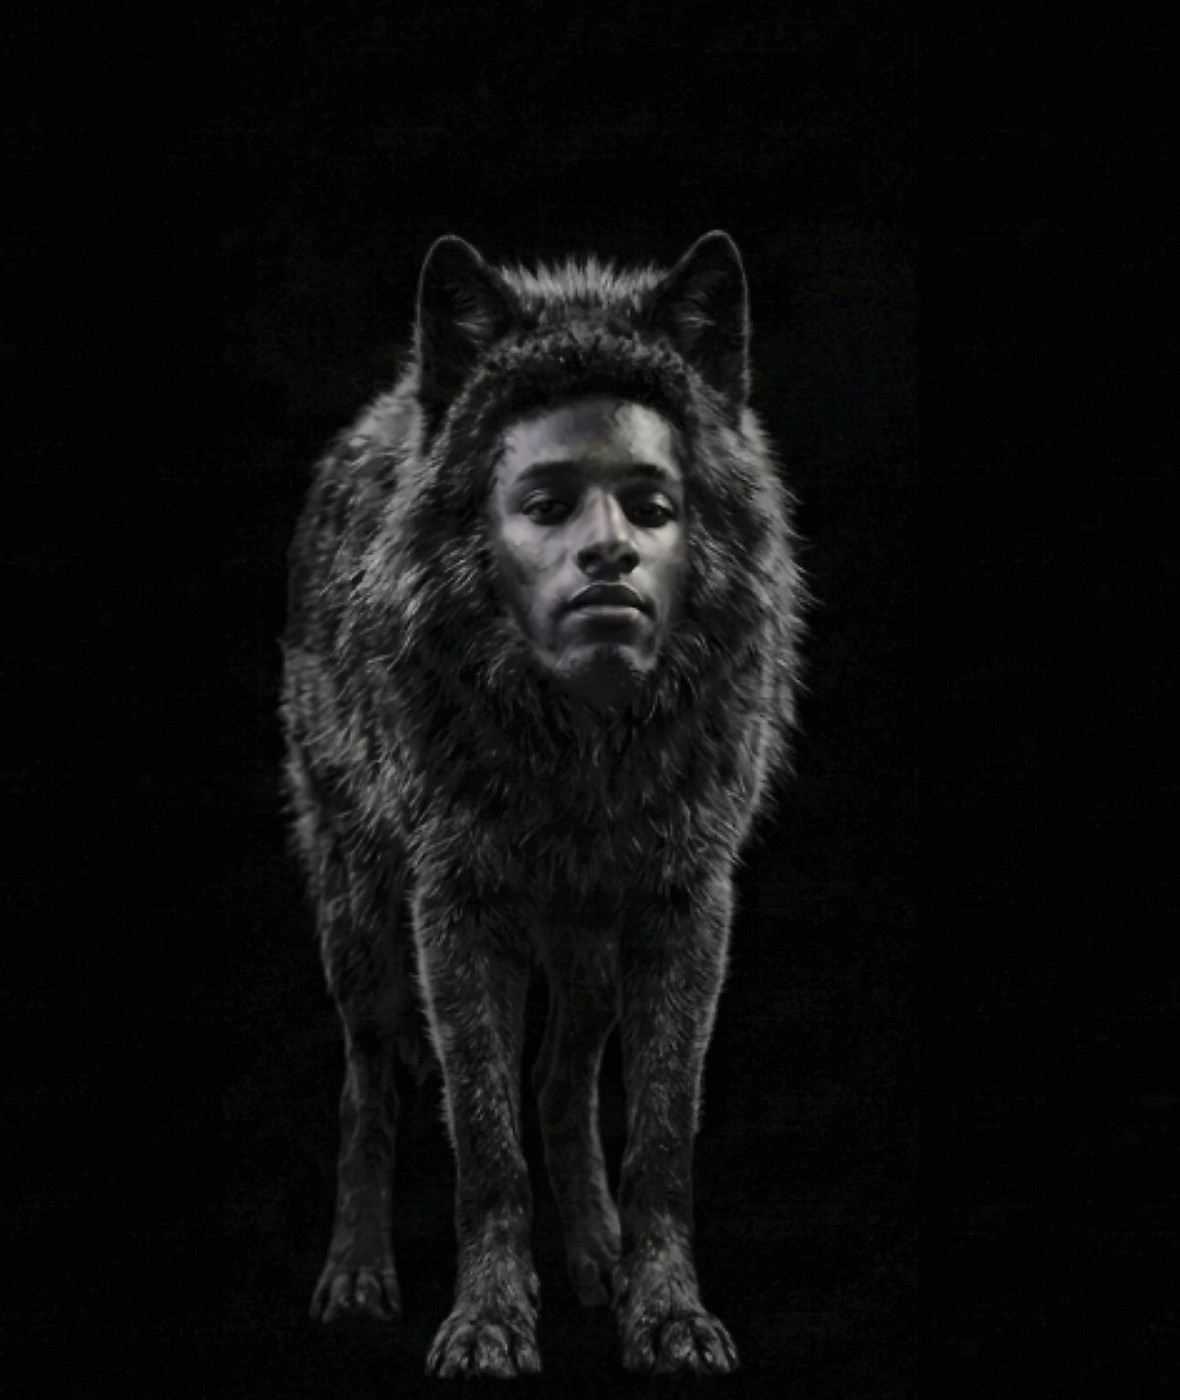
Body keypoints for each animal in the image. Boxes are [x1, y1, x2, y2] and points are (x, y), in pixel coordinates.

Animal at [280, 230, 804, 1377]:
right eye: (549, 505)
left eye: (650, 506)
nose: (609, 559)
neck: (585, 747)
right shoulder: (456, 909)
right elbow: (483, 1140)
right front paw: (486, 1322)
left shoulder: (687, 907)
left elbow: (658, 1138)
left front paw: (667, 1314)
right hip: (361, 927)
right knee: (367, 1083)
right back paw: (356, 1273)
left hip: (587, 955)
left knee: (563, 1086)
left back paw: (597, 1257)